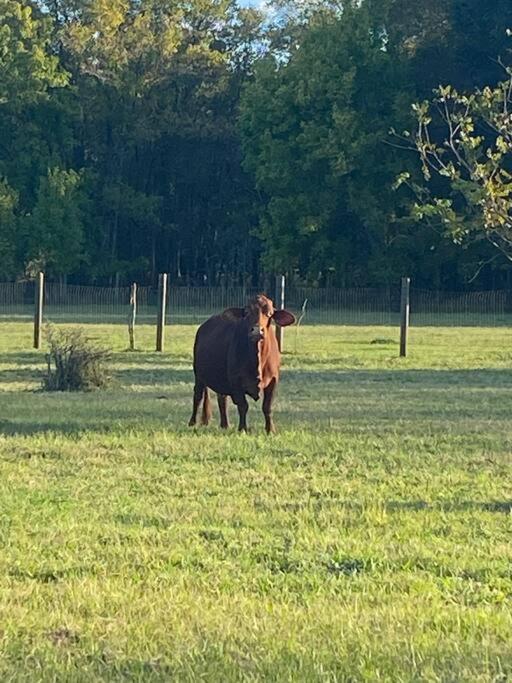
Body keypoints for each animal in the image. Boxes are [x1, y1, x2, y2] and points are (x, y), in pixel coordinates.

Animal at [188, 294, 296, 432]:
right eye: (247, 312)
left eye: (269, 313)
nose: (257, 331)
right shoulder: (236, 381)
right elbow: (243, 406)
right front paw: (243, 429)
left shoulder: (273, 380)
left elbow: (267, 406)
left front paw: (270, 429)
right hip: (199, 375)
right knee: (198, 395)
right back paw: (192, 422)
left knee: (221, 398)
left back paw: (225, 425)